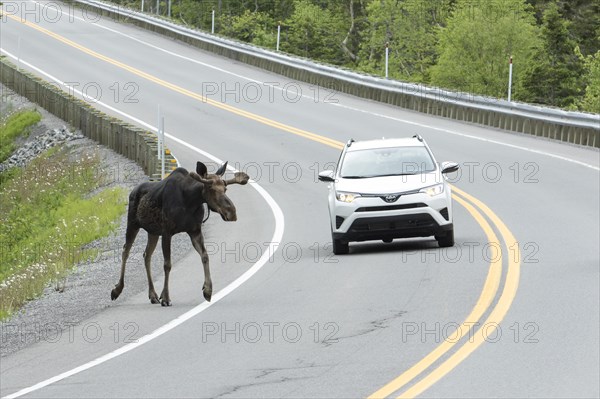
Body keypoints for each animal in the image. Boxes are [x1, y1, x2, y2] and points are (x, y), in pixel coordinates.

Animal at [110, 162, 248, 306]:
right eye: (211, 188)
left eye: (225, 189)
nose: (231, 212)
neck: (191, 201)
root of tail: (132, 191)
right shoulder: (167, 232)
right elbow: (167, 264)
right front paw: (166, 297)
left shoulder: (195, 231)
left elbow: (205, 256)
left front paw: (208, 290)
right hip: (133, 223)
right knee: (125, 251)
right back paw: (117, 290)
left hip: (153, 231)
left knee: (146, 255)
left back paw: (152, 295)